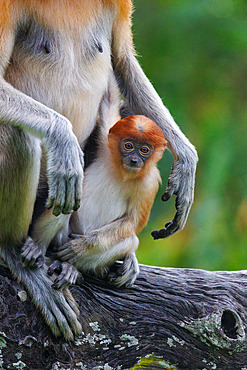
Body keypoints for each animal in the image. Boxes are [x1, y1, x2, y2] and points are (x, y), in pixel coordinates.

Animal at [51, 114, 168, 288]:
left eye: (144, 150)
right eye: (128, 146)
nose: (134, 160)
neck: (123, 173)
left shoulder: (149, 183)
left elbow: (133, 222)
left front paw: (82, 245)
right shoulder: (106, 144)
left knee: (131, 240)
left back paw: (70, 266)